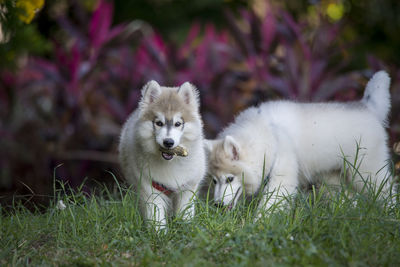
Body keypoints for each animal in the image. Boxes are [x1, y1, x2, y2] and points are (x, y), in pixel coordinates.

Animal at [119, 81, 206, 230]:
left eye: (178, 124)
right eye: (159, 123)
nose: (168, 142)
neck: (170, 163)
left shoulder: (188, 187)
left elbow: (185, 213)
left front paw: (185, 228)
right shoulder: (149, 187)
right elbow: (156, 215)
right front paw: (158, 232)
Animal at [206, 71, 394, 216]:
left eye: (230, 179)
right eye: (214, 181)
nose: (217, 205)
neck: (267, 134)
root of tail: (368, 108)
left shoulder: (283, 177)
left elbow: (269, 206)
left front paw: (257, 226)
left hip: (366, 172)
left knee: (387, 192)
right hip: (332, 179)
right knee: (349, 200)